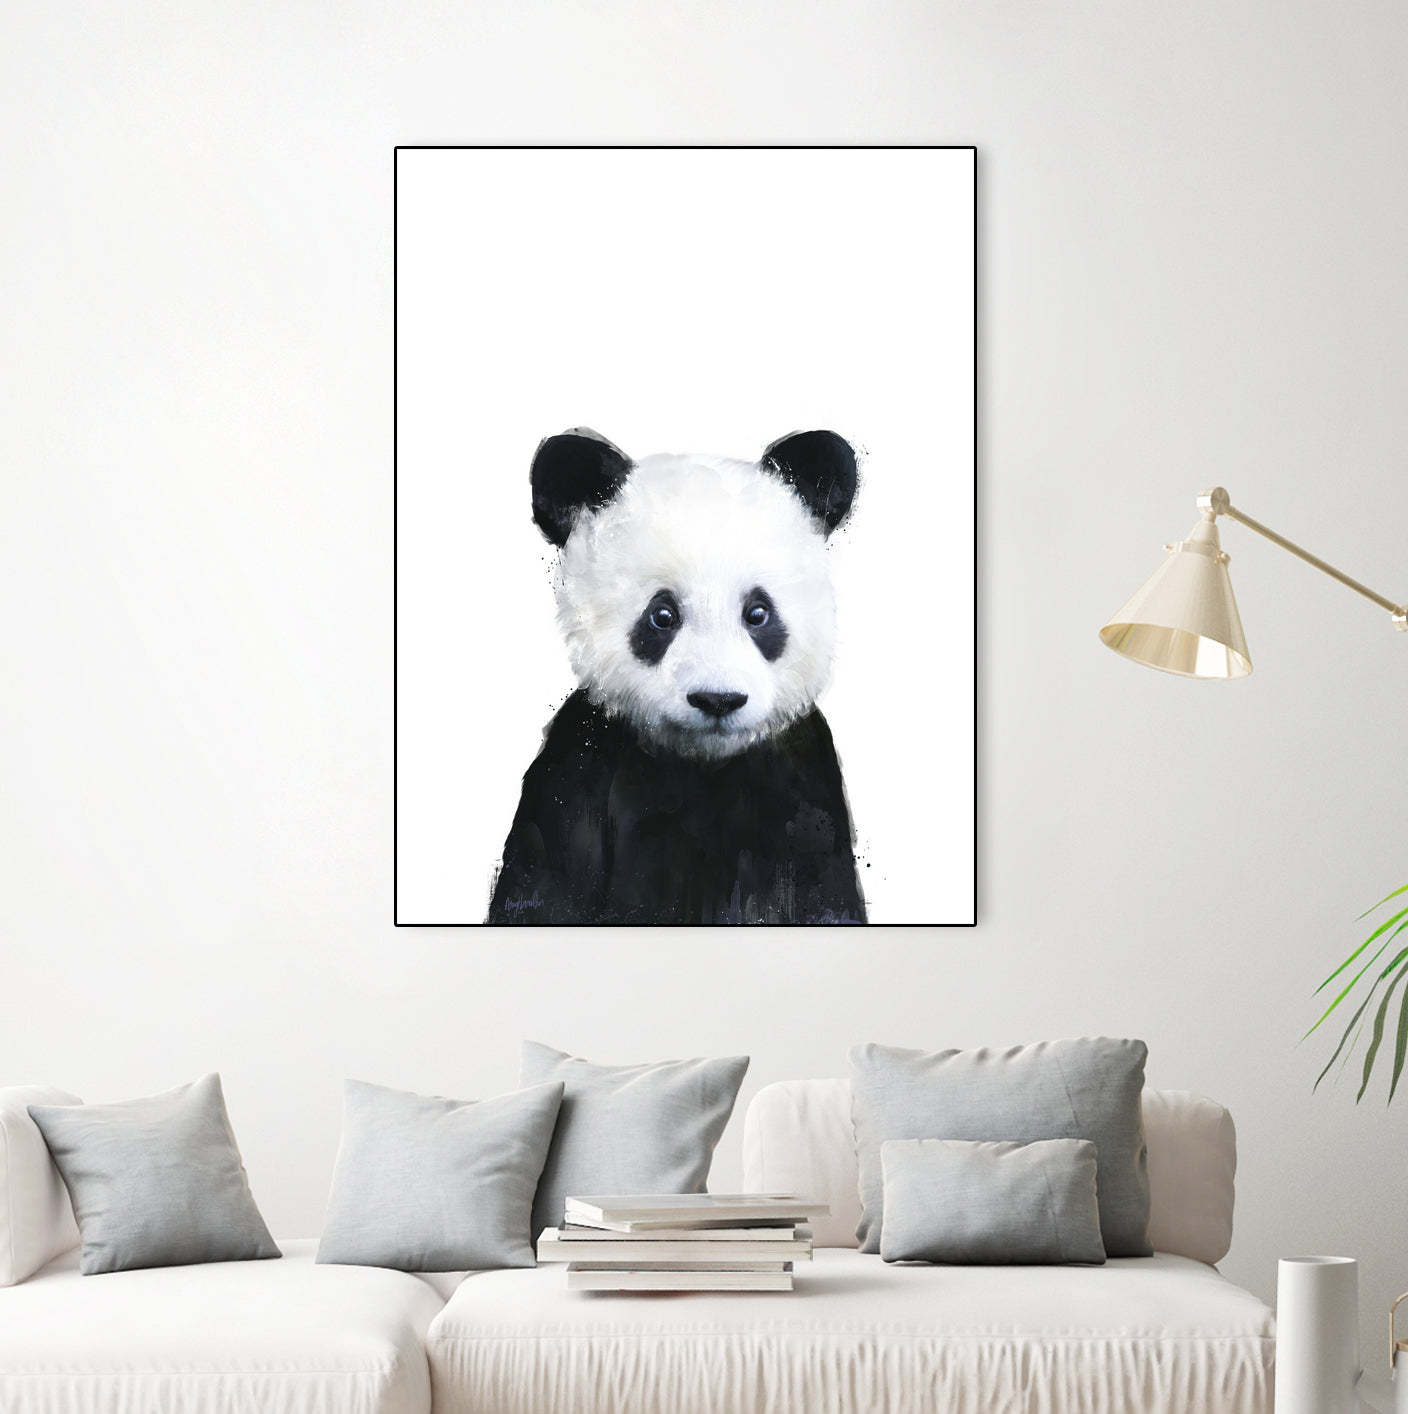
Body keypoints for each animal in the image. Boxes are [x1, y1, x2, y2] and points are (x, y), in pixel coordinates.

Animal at [487, 428, 866, 926]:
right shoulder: (579, 769)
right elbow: (544, 887)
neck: (702, 763)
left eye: (758, 613)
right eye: (662, 615)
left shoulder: (803, 785)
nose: (717, 700)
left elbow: (824, 895)